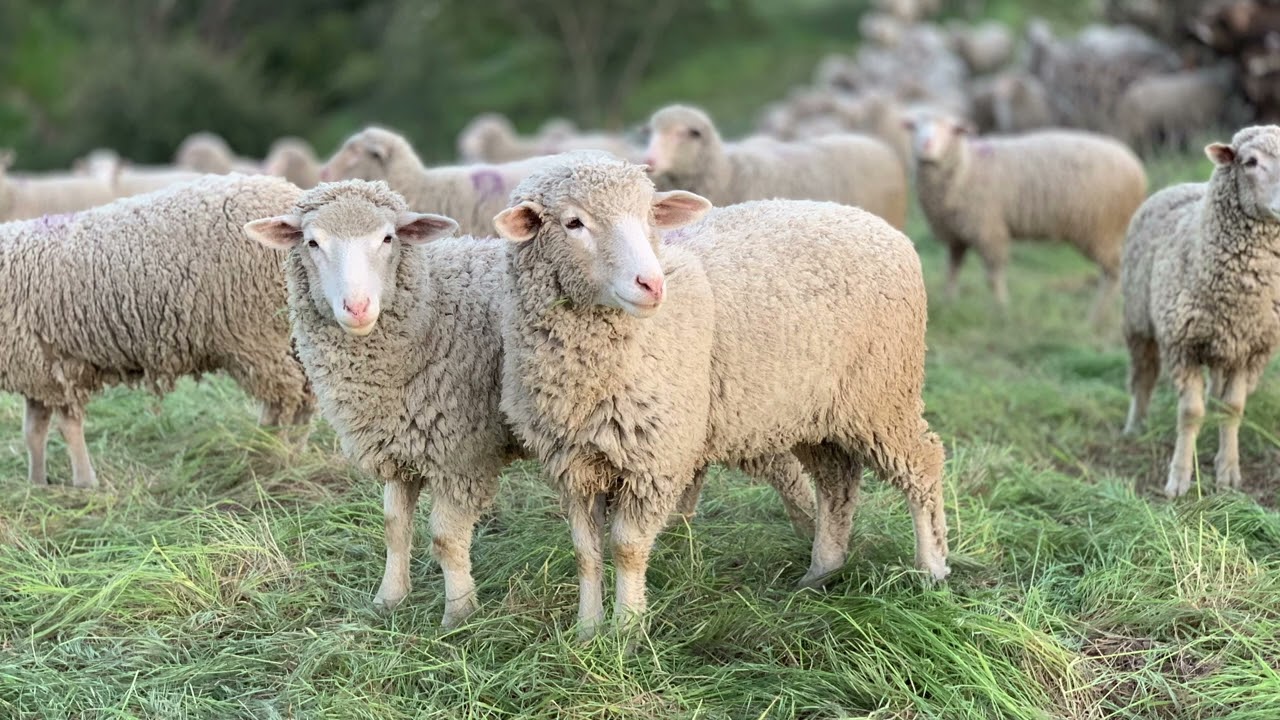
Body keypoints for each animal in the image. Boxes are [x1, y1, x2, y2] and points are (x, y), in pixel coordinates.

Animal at [0, 174, 313, 488]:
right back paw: (292, 450)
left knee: (284, 397)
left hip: (255, 335)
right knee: (305, 394)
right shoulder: (37, 370)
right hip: (286, 334)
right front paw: (36, 484)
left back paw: (267, 453)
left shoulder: (58, 366)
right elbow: (33, 432)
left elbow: (68, 428)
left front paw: (84, 483)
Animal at [244, 179, 817, 628]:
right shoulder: (399, 444)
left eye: (387, 238)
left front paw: (458, 614)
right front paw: (388, 599)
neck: (429, 311)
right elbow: (393, 527)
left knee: (790, 475)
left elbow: (445, 538)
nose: (357, 307)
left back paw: (813, 546)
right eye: (312, 242)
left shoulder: (462, 452)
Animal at [496, 153, 947, 637]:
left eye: (649, 216)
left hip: (883, 395)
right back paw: (821, 572)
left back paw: (931, 569)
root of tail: (883, 228)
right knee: (837, 482)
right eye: (573, 223)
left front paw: (627, 632)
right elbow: (585, 552)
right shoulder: (572, 463)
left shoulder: (656, 458)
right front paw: (586, 631)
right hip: (816, 409)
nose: (652, 284)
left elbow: (626, 549)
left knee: (922, 464)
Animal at [905, 112, 1147, 322]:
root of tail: (1136, 168)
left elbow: (993, 276)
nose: (926, 145)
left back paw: (1095, 317)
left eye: (951, 129)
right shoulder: (956, 235)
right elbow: (952, 271)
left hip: (1100, 229)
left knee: (1114, 272)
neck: (966, 167)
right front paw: (948, 303)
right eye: (915, 127)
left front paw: (1001, 309)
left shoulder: (989, 229)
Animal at [1122, 126, 1280, 498]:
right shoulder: (1182, 345)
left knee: (1215, 391)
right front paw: (1179, 479)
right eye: (1250, 162)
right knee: (1142, 376)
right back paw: (1136, 426)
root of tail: (1180, 184)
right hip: (1138, 321)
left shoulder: (1249, 348)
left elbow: (1232, 408)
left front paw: (1228, 472)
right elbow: (1191, 412)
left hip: (1224, 345)